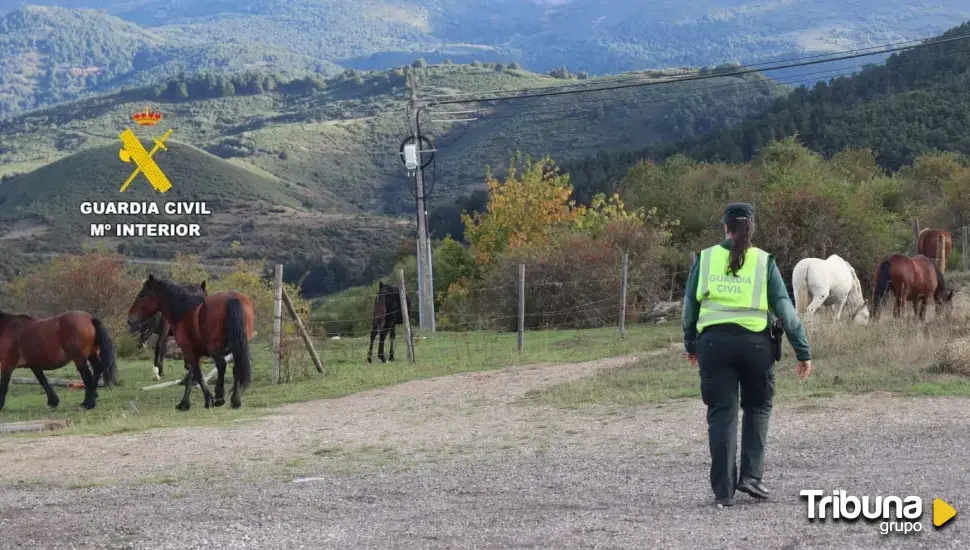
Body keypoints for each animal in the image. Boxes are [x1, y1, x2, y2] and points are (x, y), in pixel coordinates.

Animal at [126, 276, 255, 410]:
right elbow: (192, 374)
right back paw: (235, 400)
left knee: (222, 365)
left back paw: (219, 396)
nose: (130, 319)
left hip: (216, 348)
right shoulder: (196, 353)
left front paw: (204, 399)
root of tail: (232, 299)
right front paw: (185, 402)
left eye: (142, 295)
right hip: (238, 346)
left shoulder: (188, 351)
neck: (184, 311)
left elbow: (196, 374)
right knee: (237, 368)